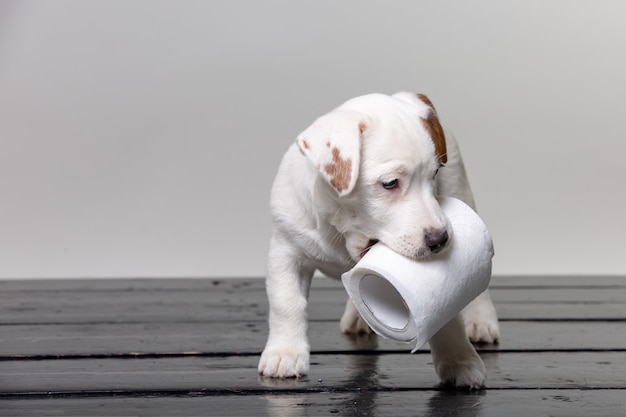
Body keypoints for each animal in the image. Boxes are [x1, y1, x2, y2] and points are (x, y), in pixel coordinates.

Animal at [258, 91, 498, 386]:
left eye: (433, 175)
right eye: (390, 183)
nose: (440, 240)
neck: (340, 232)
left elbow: (446, 317)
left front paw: (458, 359)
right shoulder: (286, 249)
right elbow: (287, 303)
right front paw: (285, 353)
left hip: (460, 188)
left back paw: (481, 319)